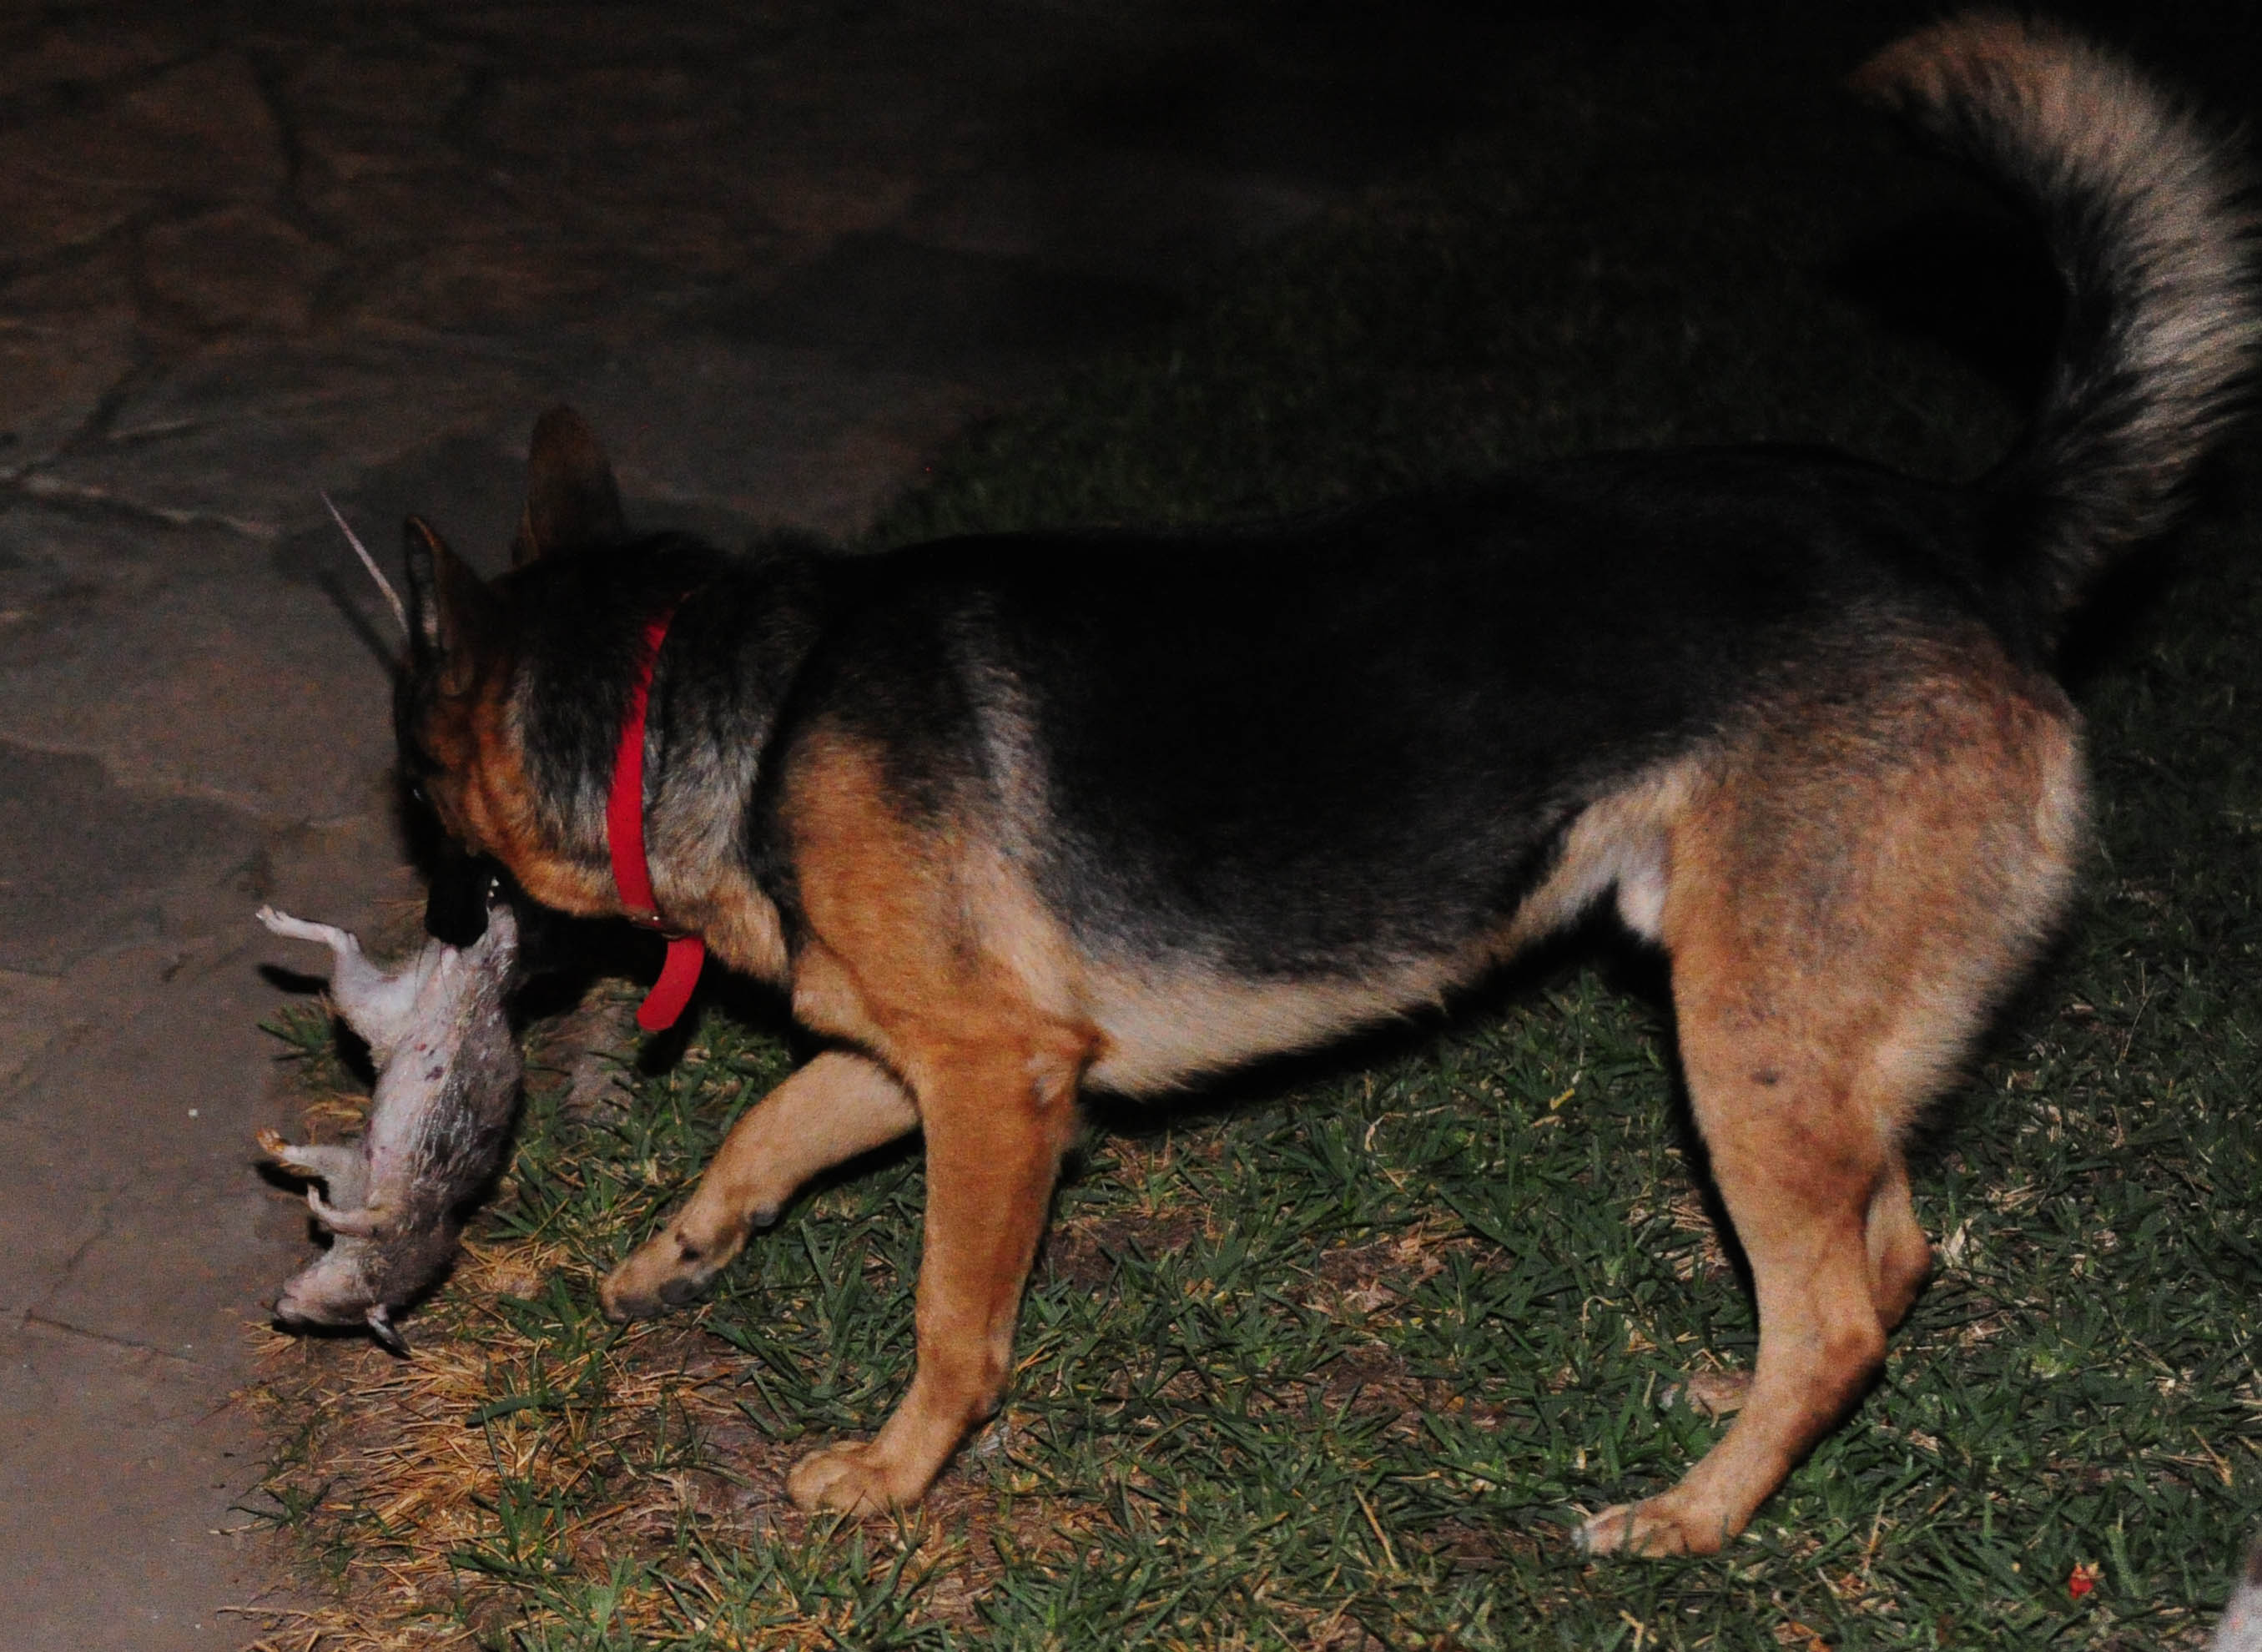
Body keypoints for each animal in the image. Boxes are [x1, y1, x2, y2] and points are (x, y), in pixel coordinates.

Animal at [393, 19, 2262, 1548]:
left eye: (419, 798)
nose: (430, 939)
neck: (734, 696)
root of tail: (1966, 528)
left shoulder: (999, 1083)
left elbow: (949, 1315)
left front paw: (894, 1470)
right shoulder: (929, 1052)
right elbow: (760, 1132)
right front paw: (673, 1256)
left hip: (1747, 1039)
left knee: (1843, 1309)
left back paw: (1688, 1517)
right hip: (1805, 1038)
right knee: (1881, 1255)